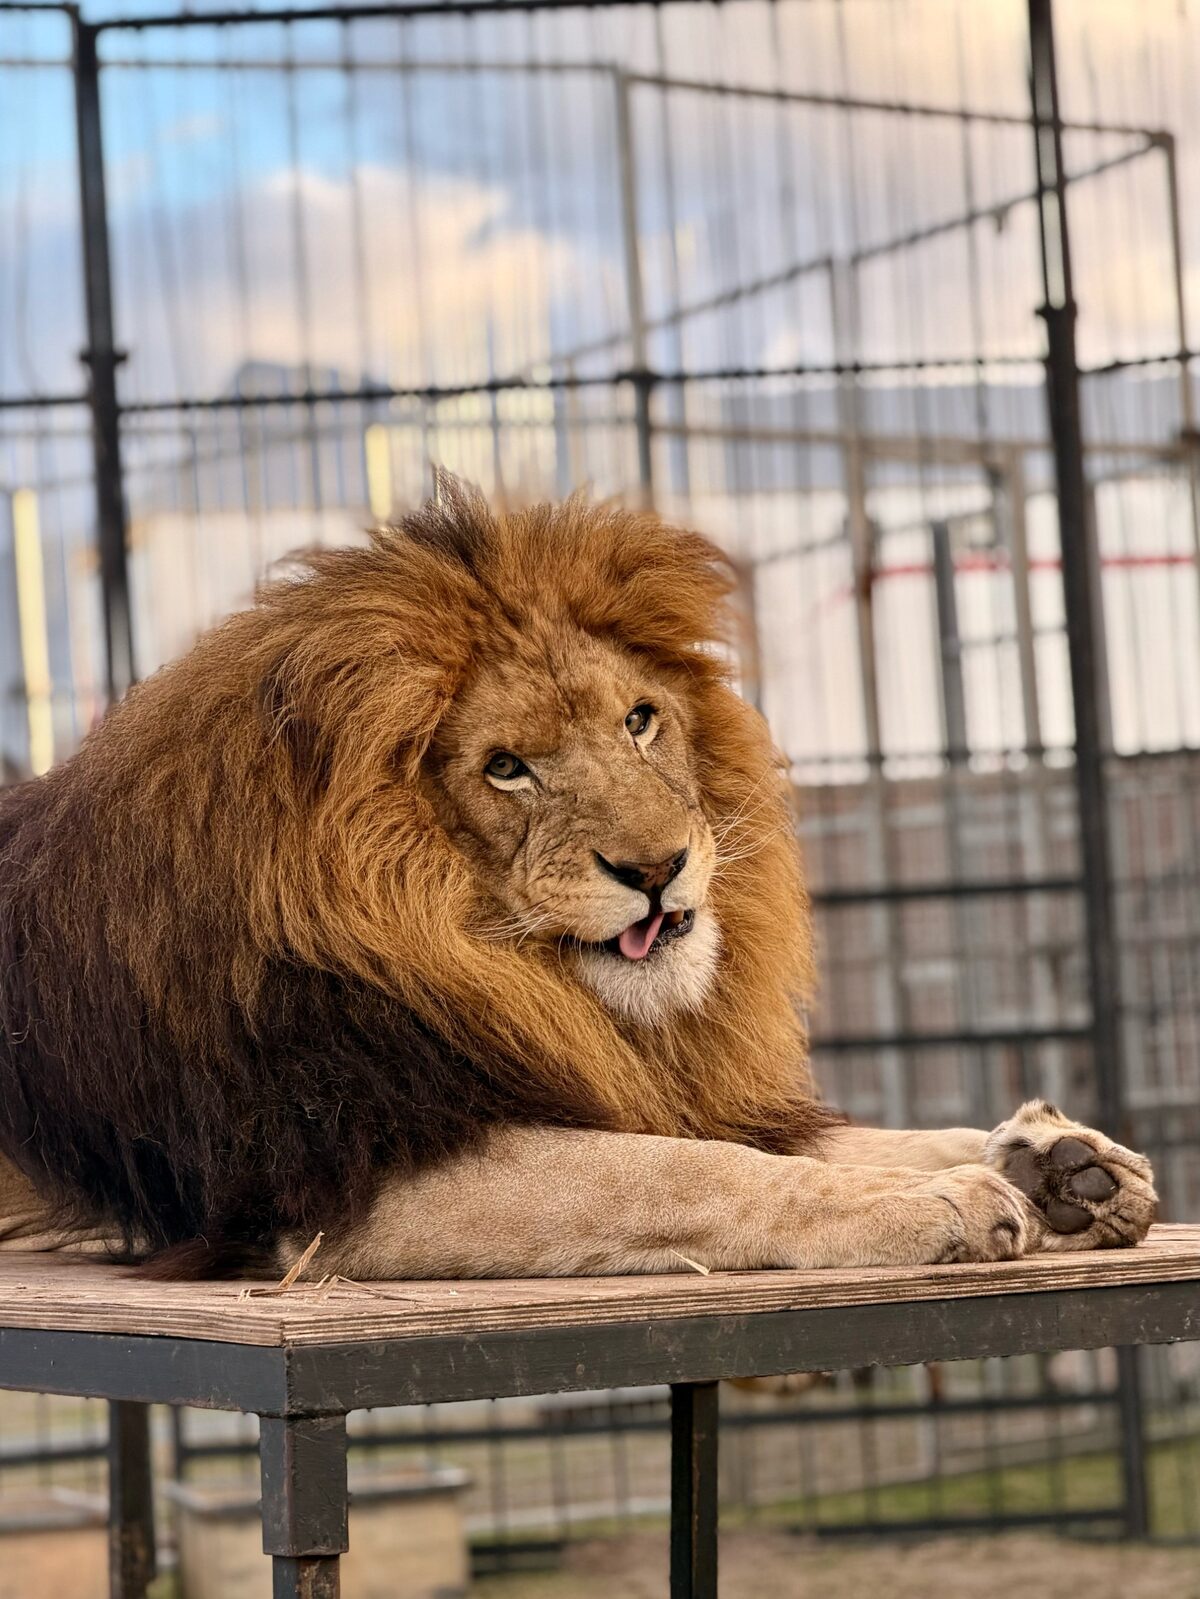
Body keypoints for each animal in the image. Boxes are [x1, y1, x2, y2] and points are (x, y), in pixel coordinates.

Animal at [0, 480, 1156, 1279]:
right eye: (506, 767)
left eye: (639, 720)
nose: (657, 870)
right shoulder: (343, 1182)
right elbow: (687, 1167)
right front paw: (933, 1205)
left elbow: (791, 1135)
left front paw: (1059, 1159)